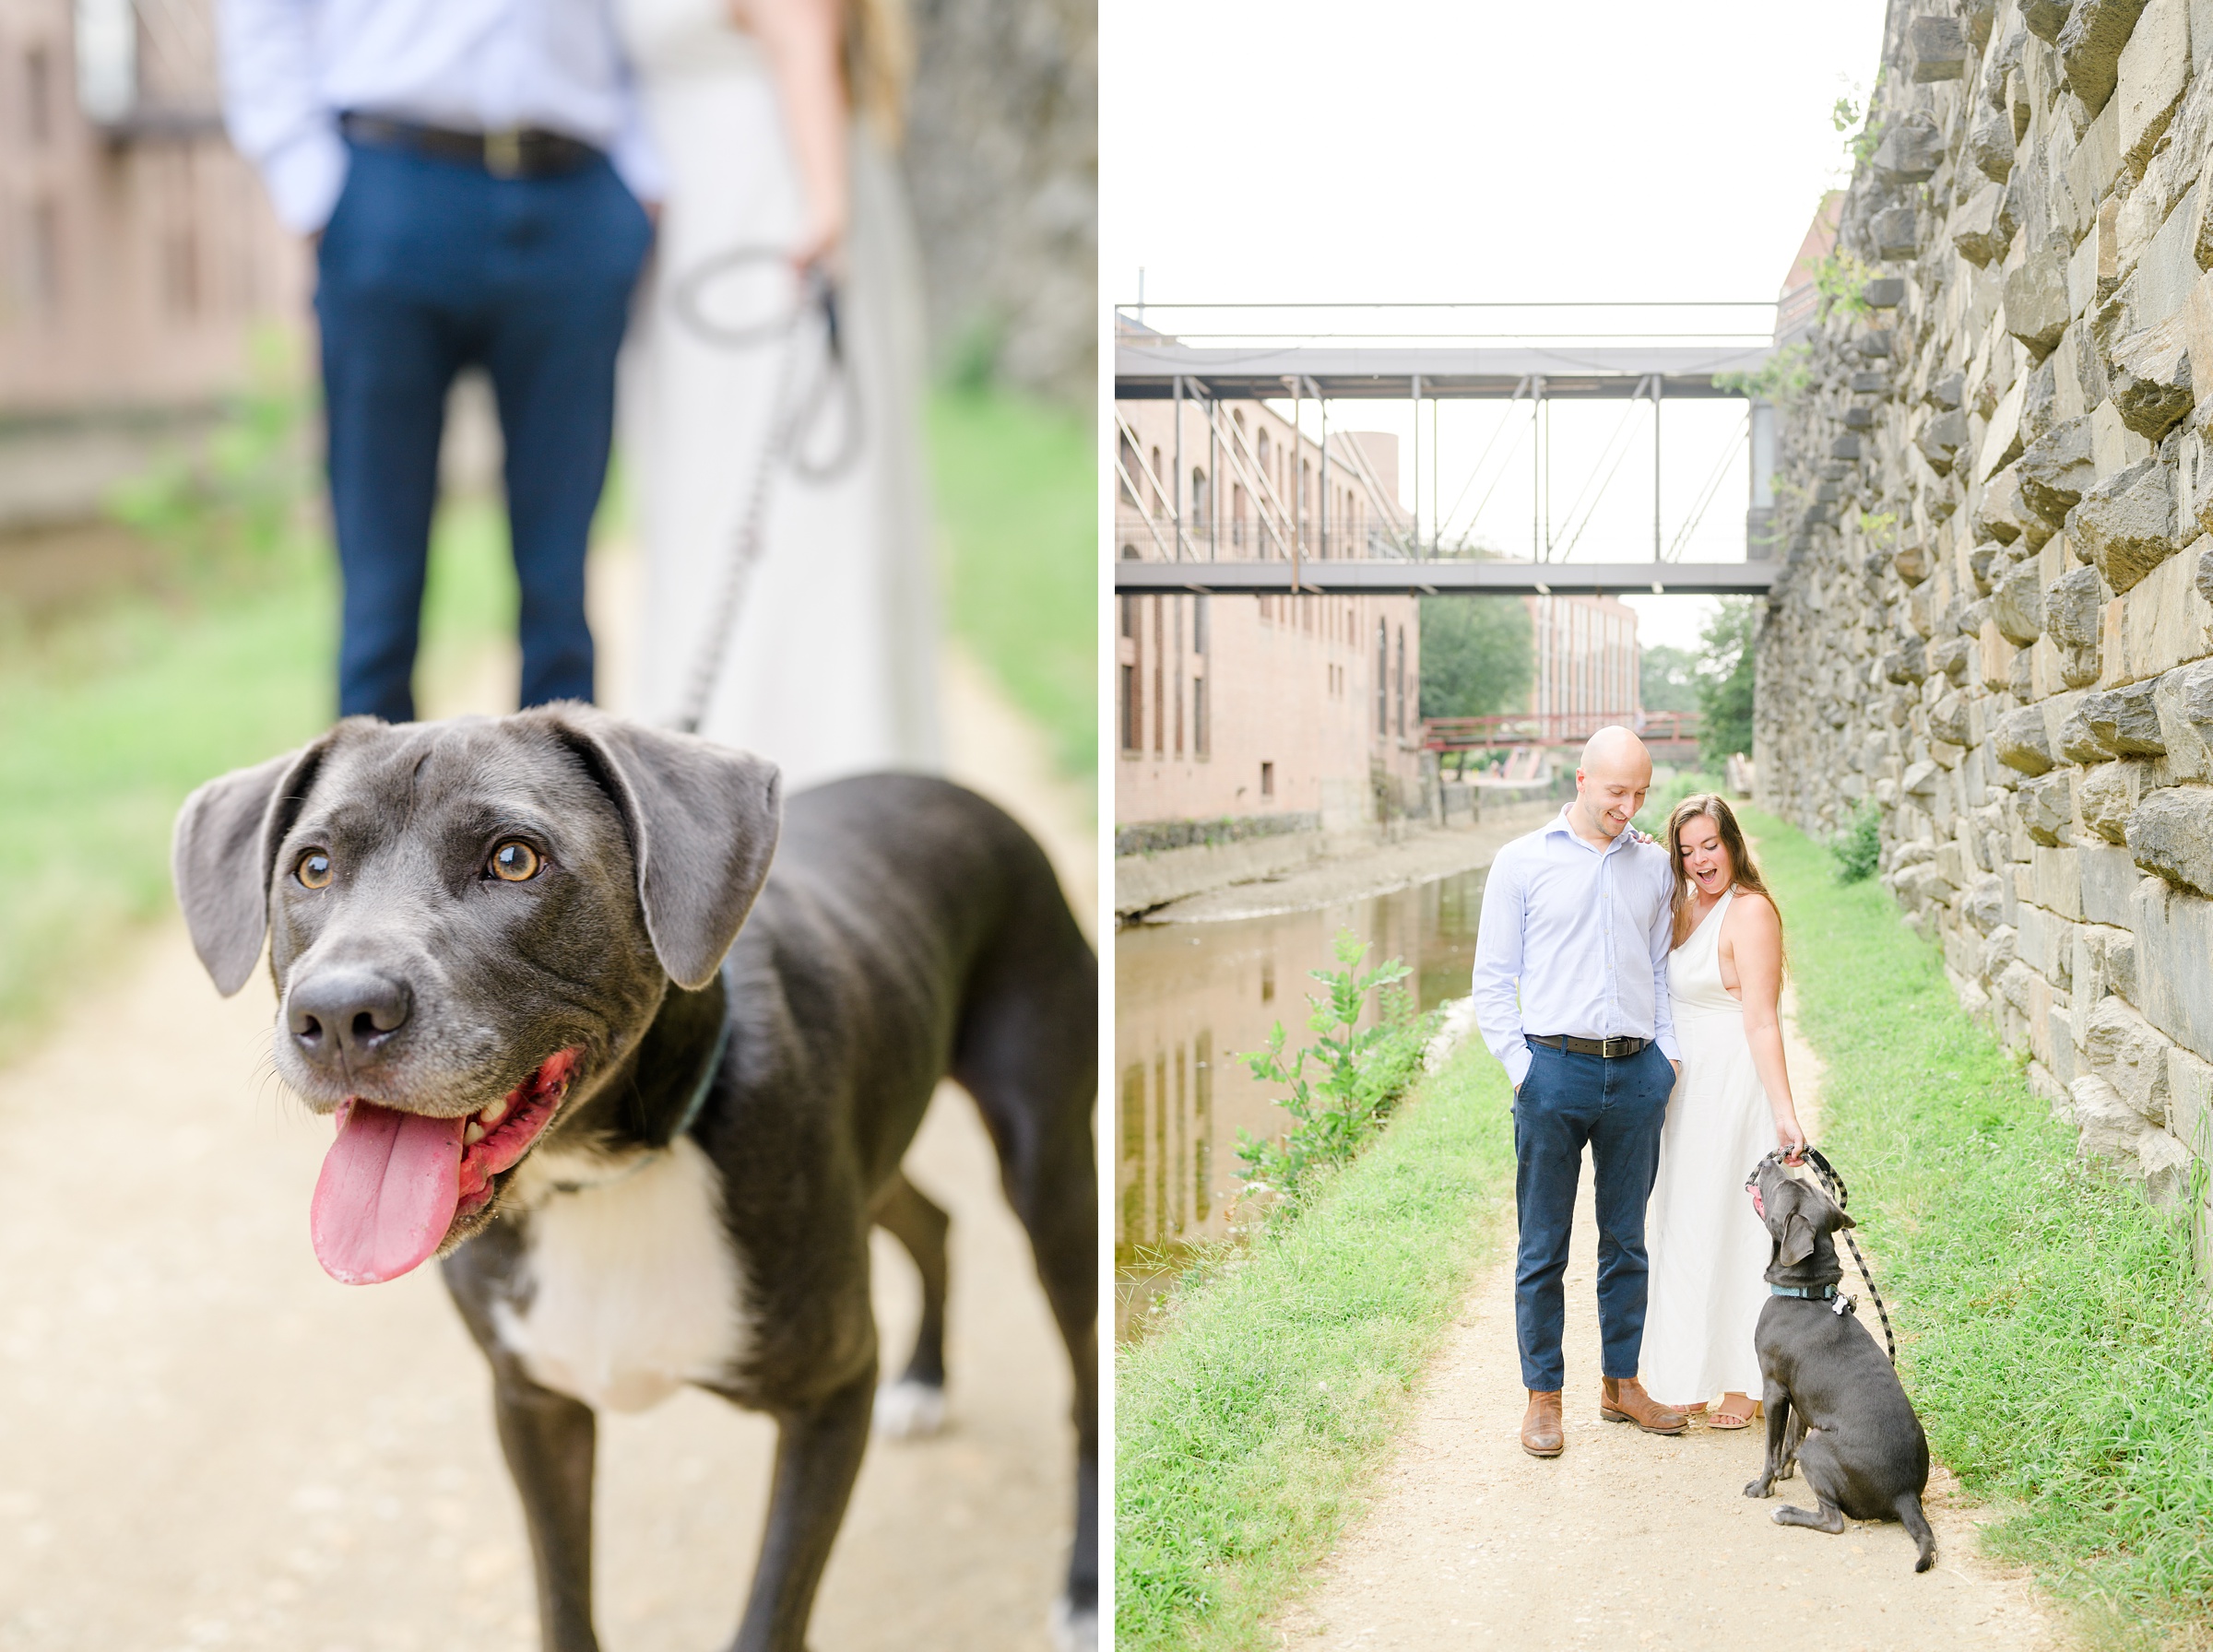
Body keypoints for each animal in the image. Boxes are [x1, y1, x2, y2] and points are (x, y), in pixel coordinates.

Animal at [168, 707, 1102, 1652]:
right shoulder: (535, 1405)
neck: (601, 1176)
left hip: (1050, 1175)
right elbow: (562, 1600)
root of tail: (953, 790)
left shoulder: (831, 1398)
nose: (337, 1013)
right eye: (313, 867)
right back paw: (924, 1380)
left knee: (1087, 1385)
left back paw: (1086, 1583)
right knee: (933, 1221)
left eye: (515, 858)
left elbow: (770, 1618)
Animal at [1744, 1159, 1938, 1575]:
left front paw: (1763, 1487)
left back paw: (1786, 1513)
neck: (1806, 1293)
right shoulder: (1799, 1396)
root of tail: (1905, 1495)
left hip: (1819, 1447)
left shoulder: (1773, 1388)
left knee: (1834, 1521)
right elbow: (1790, 1437)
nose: (1771, 1161)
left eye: (1783, 1187)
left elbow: (1771, 1447)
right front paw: (1785, 1472)